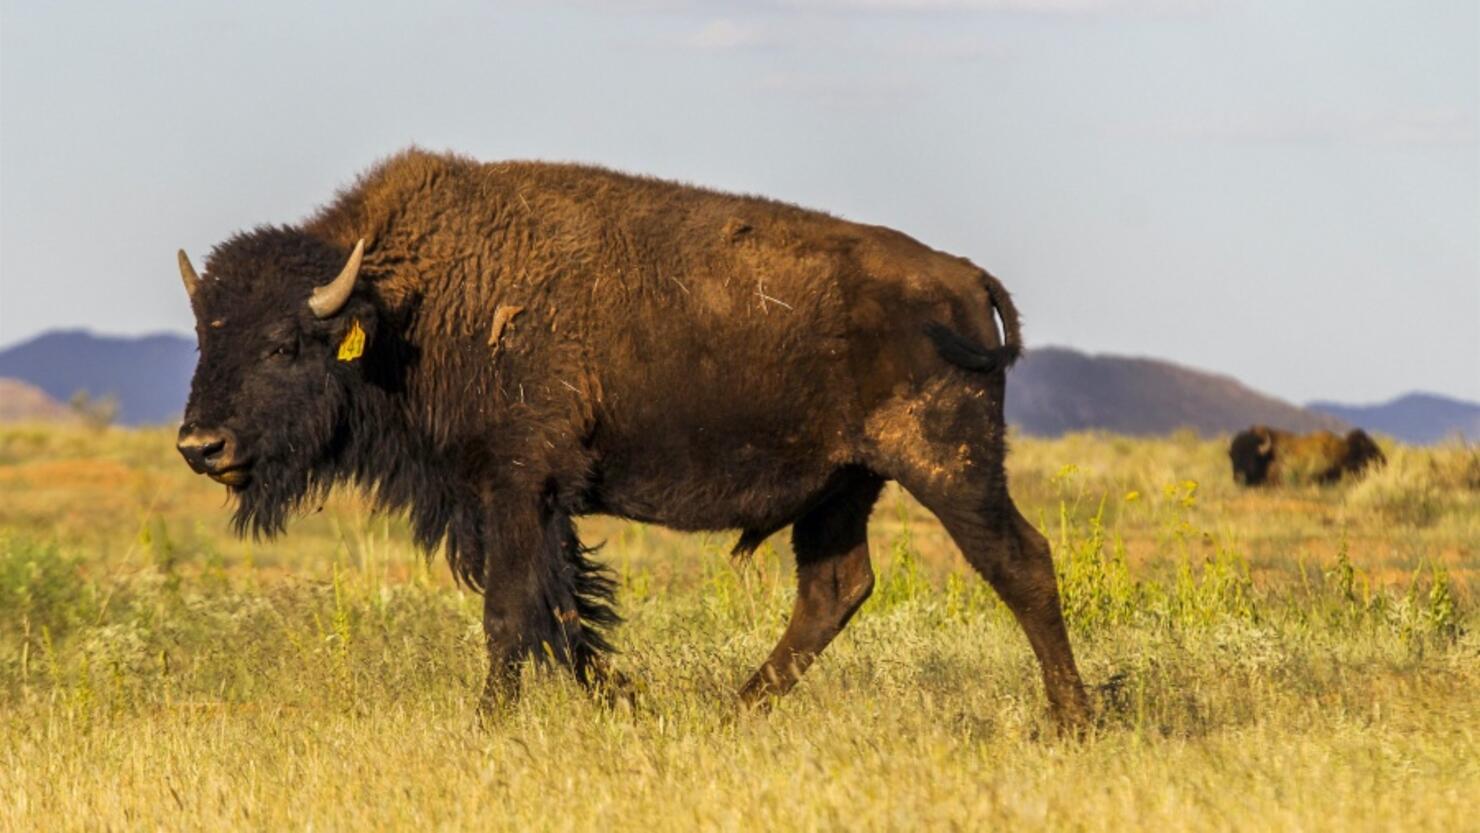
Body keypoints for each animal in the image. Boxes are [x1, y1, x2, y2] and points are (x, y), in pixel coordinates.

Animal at [176, 151, 1101, 730]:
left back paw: (1072, 722)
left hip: (949, 465)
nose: (200, 445)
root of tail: (963, 277)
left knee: (1020, 561)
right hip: (844, 485)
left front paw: (489, 725)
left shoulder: (516, 482)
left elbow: (512, 610)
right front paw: (627, 704)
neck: (412, 301)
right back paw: (730, 715)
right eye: (204, 336)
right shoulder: (521, 500)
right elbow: (562, 611)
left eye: (285, 344)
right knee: (835, 589)